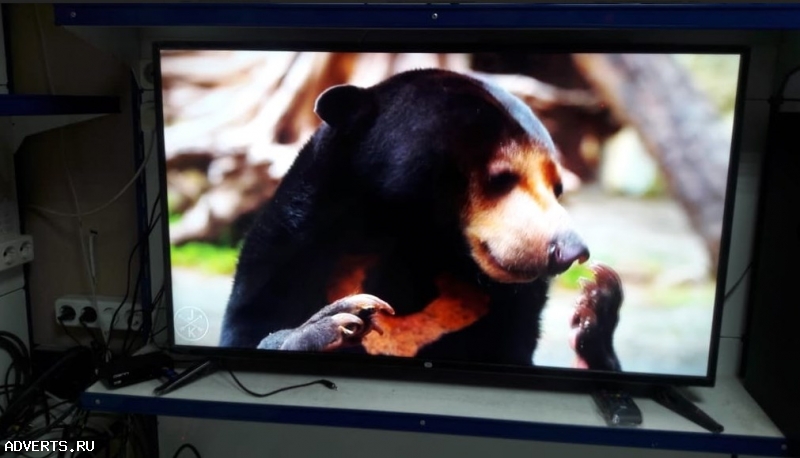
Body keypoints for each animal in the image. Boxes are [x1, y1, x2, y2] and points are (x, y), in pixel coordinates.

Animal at [217, 69, 624, 372]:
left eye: (557, 188)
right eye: (501, 178)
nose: (571, 251)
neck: (415, 242)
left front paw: (596, 308)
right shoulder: (289, 251)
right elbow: (254, 323)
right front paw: (334, 323)